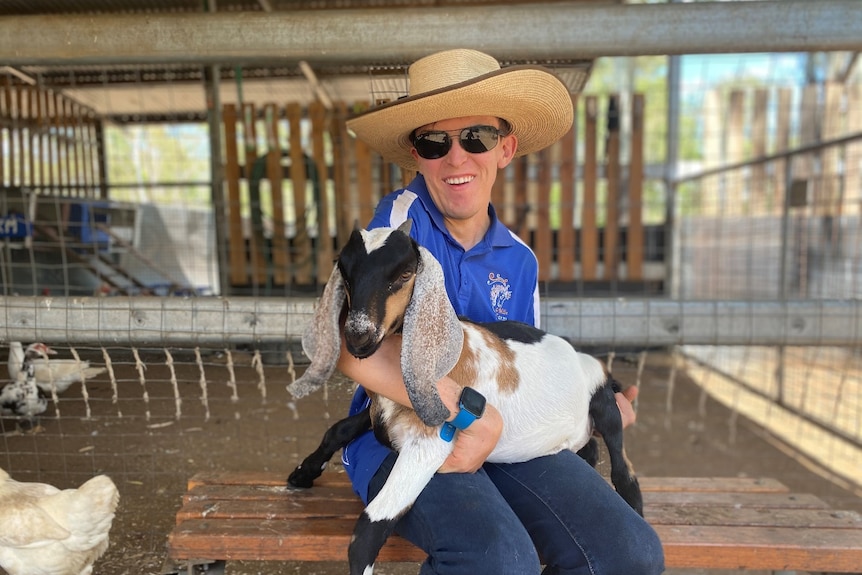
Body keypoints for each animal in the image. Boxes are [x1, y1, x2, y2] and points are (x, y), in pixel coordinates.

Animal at [286, 220, 644, 575]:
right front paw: (303, 472)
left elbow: (369, 529)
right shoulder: (384, 410)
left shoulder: (429, 444)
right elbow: (339, 429)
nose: (358, 336)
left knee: (624, 470)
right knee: (591, 448)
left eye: (404, 274)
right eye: (344, 271)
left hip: (605, 405)